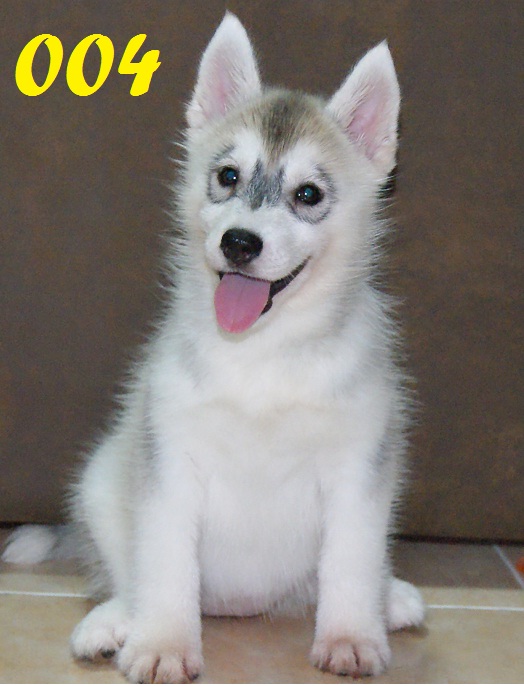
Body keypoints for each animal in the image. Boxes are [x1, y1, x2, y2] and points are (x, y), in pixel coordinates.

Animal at [3, 13, 425, 683]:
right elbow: (165, 568)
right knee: (130, 574)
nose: (240, 243)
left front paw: (352, 635)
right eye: (228, 177)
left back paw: (391, 598)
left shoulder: (359, 470)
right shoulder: (169, 465)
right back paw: (115, 621)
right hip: (102, 480)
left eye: (308, 194)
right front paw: (162, 643)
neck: (261, 356)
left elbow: (351, 567)